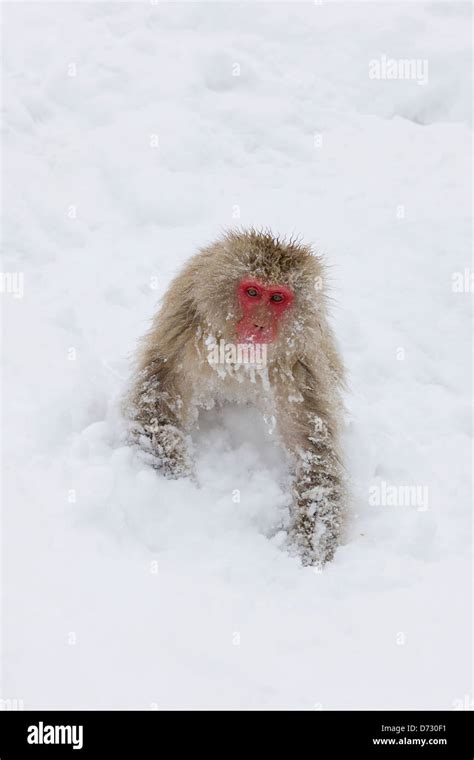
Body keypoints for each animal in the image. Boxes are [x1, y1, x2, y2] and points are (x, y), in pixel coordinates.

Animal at [128, 229, 346, 568]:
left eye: (277, 298)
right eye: (253, 292)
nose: (259, 325)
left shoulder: (298, 364)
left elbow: (312, 451)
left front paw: (311, 547)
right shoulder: (186, 328)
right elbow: (161, 394)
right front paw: (176, 484)